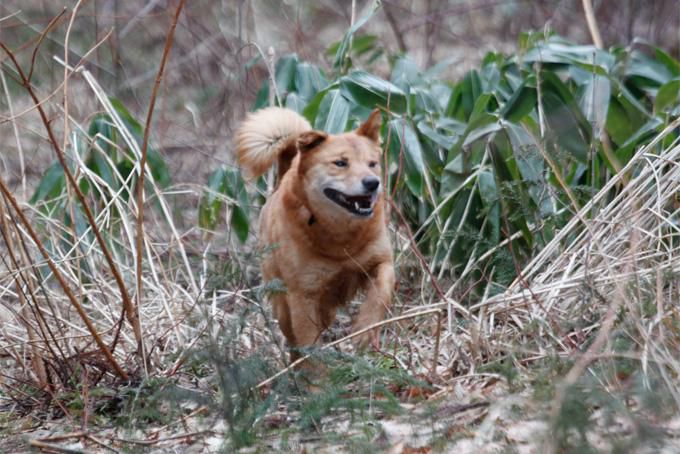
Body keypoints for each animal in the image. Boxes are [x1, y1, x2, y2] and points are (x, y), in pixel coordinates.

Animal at [236, 107, 394, 362]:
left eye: (372, 164)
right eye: (340, 163)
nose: (373, 183)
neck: (341, 239)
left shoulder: (381, 262)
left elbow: (381, 292)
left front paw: (364, 330)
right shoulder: (303, 295)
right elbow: (308, 342)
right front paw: (315, 372)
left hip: (326, 306)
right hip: (282, 301)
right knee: (292, 336)